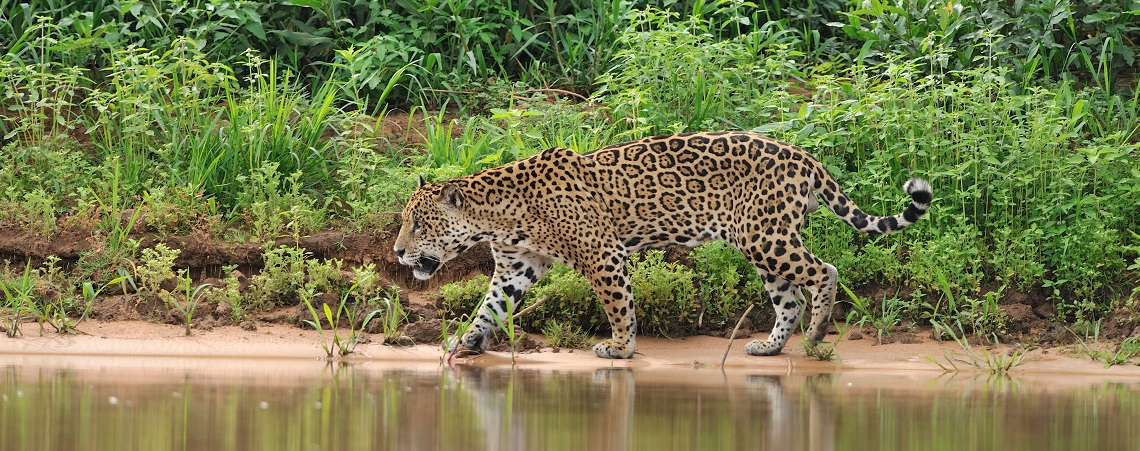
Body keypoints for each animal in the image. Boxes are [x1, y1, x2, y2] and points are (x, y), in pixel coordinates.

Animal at [394, 131, 932, 359]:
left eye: (417, 225)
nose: (397, 252)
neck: (497, 217)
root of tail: (805, 156)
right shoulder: (515, 267)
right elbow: (490, 307)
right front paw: (468, 341)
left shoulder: (602, 254)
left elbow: (618, 305)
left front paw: (620, 347)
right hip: (763, 243)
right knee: (789, 299)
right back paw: (769, 347)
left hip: (767, 237)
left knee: (824, 272)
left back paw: (818, 335)